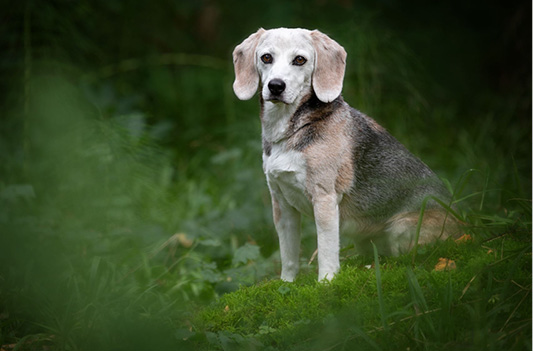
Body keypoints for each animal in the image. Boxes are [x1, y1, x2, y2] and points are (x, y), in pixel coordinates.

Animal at [231, 27, 460, 282]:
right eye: (266, 57)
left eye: (299, 60)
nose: (276, 86)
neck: (291, 131)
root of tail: (468, 224)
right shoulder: (282, 203)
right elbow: (288, 255)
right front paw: (287, 283)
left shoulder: (325, 199)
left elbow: (326, 251)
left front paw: (326, 282)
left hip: (401, 228)